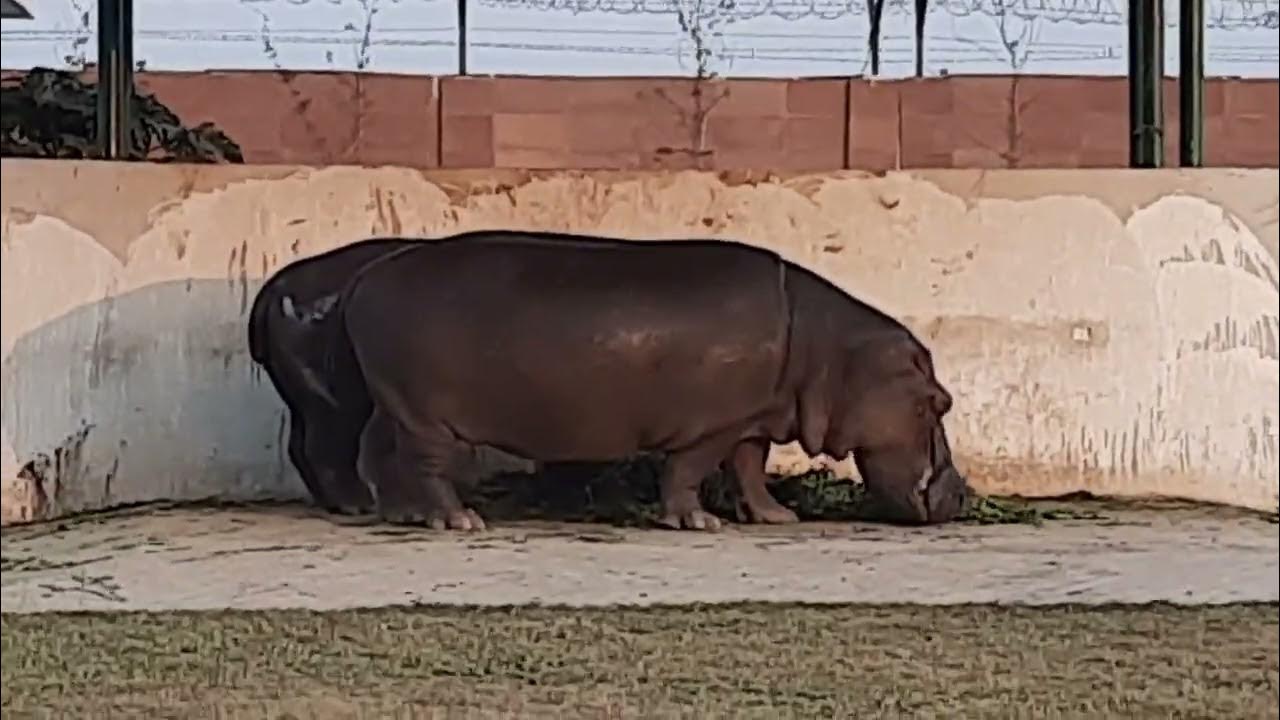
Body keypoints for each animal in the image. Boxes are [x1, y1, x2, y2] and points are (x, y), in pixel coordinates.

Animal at [247, 238, 415, 513]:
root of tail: (274, 287)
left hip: (304, 398)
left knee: (299, 445)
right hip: (337, 399)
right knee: (324, 446)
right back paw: (357, 505)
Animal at [338, 230, 970, 531]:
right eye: (940, 402)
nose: (963, 493)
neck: (832, 354)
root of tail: (364, 280)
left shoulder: (752, 418)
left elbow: (750, 469)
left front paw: (776, 517)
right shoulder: (714, 425)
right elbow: (691, 470)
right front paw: (698, 522)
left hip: (391, 403)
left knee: (375, 449)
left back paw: (401, 514)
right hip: (428, 418)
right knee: (427, 465)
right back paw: (460, 521)